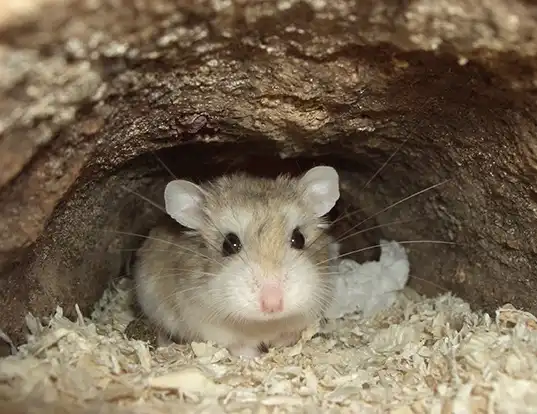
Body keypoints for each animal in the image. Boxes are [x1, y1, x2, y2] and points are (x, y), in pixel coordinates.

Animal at [134, 167, 342, 358]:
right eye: (229, 244)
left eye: (299, 239)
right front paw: (253, 358)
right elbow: (240, 347)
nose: (273, 305)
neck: (264, 324)